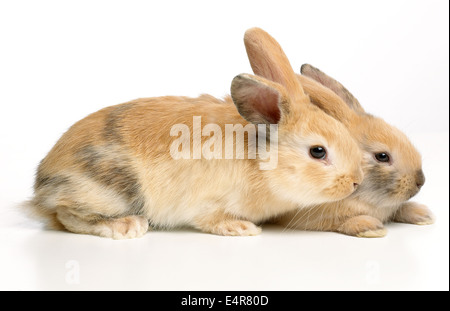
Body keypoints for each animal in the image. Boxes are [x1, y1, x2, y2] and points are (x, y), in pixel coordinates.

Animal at [26, 28, 364, 239]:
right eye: (318, 152)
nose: (356, 182)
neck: (261, 160)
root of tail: (43, 183)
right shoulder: (206, 203)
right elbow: (211, 220)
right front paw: (240, 229)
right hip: (114, 189)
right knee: (68, 215)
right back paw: (126, 227)